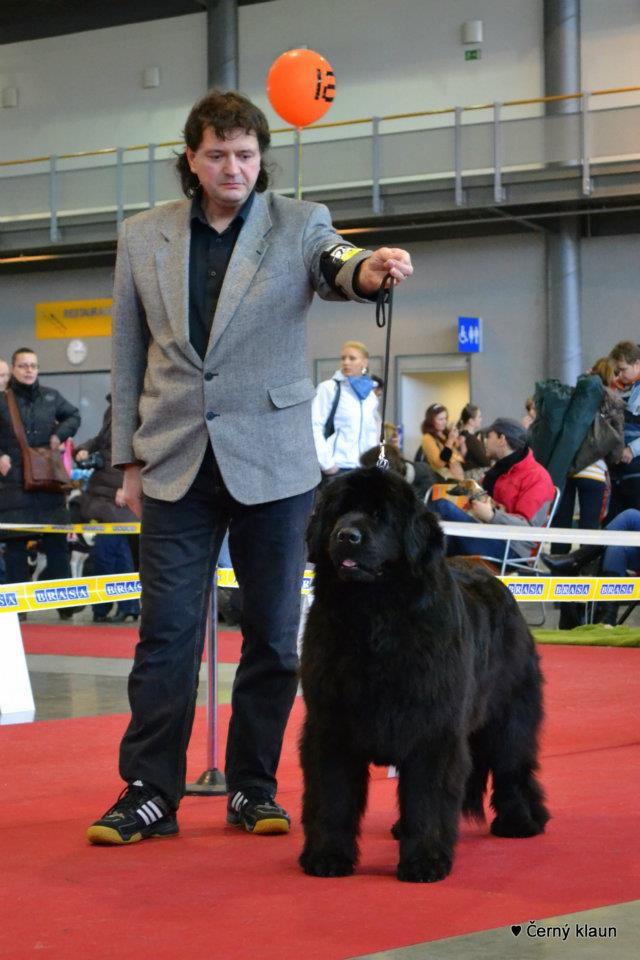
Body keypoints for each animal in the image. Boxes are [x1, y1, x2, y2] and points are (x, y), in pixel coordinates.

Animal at [299, 467, 549, 883]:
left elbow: (428, 797)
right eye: (339, 512)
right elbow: (332, 796)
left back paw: (520, 821)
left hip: (508, 713)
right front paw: (326, 856)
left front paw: (425, 861)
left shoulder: (433, 728)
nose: (346, 536)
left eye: (379, 515)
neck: (373, 617)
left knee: (513, 766)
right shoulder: (331, 727)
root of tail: (494, 578)